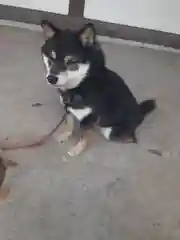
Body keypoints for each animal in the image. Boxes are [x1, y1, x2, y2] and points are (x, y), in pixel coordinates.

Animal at [40, 20, 155, 156]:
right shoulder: (68, 109)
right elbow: (69, 124)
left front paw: (77, 149)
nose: (51, 78)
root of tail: (139, 112)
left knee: (131, 139)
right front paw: (65, 135)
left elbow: (83, 137)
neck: (80, 85)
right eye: (50, 58)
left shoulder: (89, 119)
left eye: (70, 61)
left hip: (111, 131)